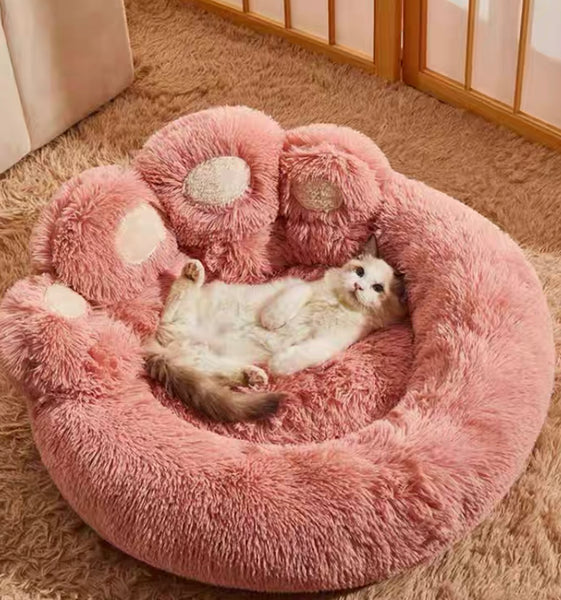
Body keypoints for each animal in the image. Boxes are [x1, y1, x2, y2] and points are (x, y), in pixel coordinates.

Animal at [145, 236, 407, 422]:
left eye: (377, 288)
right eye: (359, 271)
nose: (357, 286)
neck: (338, 304)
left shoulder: (330, 342)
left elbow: (307, 353)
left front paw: (280, 364)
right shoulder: (303, 286)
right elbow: (293, 298)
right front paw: (272, 320)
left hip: (203, 357)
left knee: (214, 373)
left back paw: (253, 376)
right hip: (191, 312)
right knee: (172, 306)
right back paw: (192, 273)